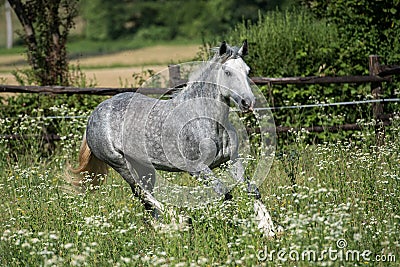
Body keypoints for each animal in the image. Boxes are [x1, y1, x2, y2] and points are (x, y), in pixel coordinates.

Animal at [67, 40, 276, 238]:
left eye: (247, 70)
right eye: (227, 72)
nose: (248, 102)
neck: (204, 118)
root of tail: (94, 114)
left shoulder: (230, 161)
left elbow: (252, 189)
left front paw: (270, 230)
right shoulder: (197, 168)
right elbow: (224, 192)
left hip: (143, 166)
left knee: (145, 197)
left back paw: (162, 229)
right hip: (120, 163)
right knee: (143, 193)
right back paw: (179, 222)